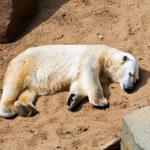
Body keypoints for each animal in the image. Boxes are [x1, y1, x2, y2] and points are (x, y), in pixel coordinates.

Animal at [0, 44, 139, 118]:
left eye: (136, 80)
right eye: (130, 74)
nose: (129, 88)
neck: (106, 55)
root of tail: (15, 58)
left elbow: (79, 83)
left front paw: (72, 100)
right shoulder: (90, 57)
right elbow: (90, 77)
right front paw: (101, 102)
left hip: (32, 79)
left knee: (28, 92)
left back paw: (25, 108)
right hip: (24, 65)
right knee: (13, 86)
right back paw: (7, 110)